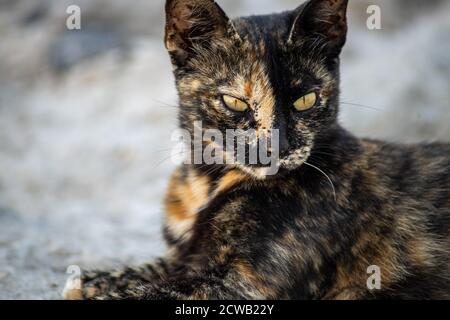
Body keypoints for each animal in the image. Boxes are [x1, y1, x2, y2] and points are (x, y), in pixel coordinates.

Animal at [64, 0, 450, 300]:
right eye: (235, 102)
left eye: (306, 100)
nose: (277, 147)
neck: (206, 182)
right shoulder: (185, 259)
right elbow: (146, 271)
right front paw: (92, 280)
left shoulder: (246, 283)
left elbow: (153, 291)